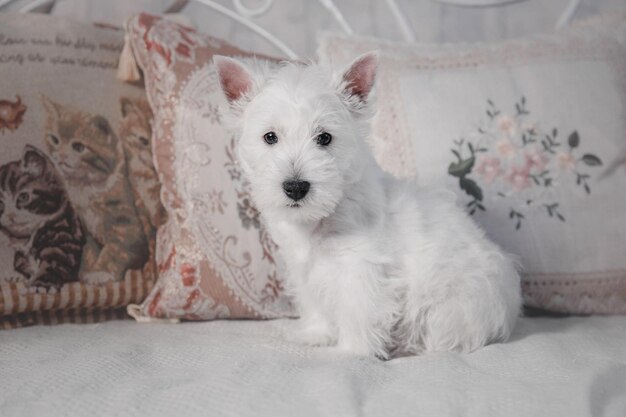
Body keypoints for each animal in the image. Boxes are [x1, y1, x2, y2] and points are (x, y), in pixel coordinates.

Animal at [0, 145, 84, 288]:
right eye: (0, 205)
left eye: (23, 197)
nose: (11, 216)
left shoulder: (65, 238)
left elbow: (52, 266)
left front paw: (39, 286)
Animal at [41, 96, 149, 284]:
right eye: (54, 140)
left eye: (78, 147)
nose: (60, 156)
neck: (86, 185)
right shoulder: (88, 228)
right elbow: (90, 250)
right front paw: (87, 271)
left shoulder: (128, 224)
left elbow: (116, 248)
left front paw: (101, 272)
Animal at [212, 52, 520, 358]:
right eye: (270, 137)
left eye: (324, 137)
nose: (296, 187)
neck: (322, 218)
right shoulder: (304, 269)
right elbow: (314, 304)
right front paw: (317, 335)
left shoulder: (361, 268)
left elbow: (358, 314)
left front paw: (352, 353)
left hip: (452, 306)